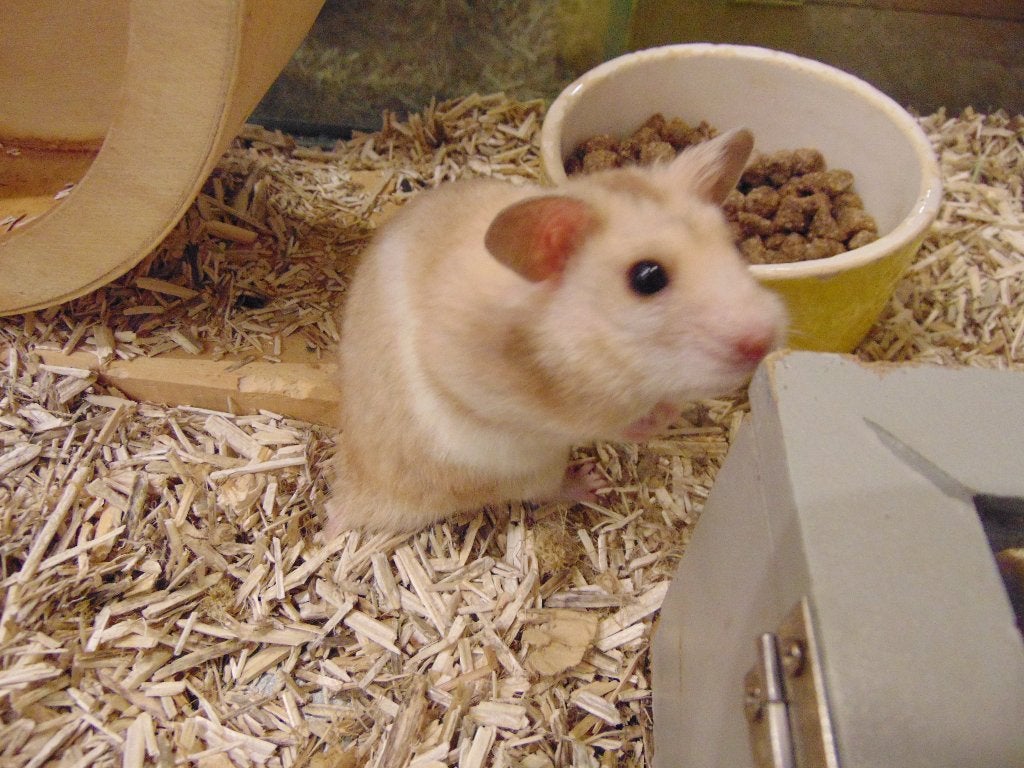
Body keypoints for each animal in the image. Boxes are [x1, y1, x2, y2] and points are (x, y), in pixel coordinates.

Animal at [325, 128, 786, 535]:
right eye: (647, 277)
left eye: (733, 245)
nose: (765, 338)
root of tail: (357, 494)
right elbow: (594, 422)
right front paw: (653, 422)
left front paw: (672, 410)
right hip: (521, 465)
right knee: (543, 489)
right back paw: (593, 480)